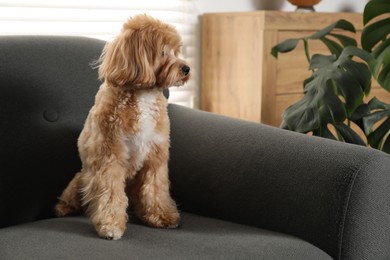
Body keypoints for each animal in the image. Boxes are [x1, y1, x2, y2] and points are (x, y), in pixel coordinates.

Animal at [53, 14, 190, 240]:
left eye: (176, 51)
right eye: (162, 52)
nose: (186, 69)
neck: (143, 95)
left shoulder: (156, 157)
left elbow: (155, 189)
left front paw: (162, 216)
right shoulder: (109, 157)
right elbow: (109, 193)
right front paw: (110, 225)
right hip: (83, 176)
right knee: (76, 194)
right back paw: (64, 208)